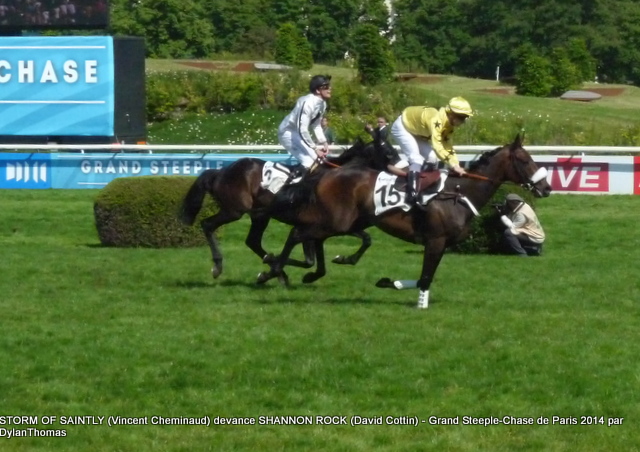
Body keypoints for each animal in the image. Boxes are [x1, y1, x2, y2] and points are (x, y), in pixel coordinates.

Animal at [178, 139, 392, 278]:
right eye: (390, 153)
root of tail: (221, 171)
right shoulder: (317, 224)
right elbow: (309, 259)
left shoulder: (333, 226)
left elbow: (363, 239)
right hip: (234, 210)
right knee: (207, 224)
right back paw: (218, 266)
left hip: (259, 216)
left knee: (252, 241)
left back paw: (274, 267)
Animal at [258, 134, 552, 308]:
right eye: (524, 159)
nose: (546, 187)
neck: (458, 194)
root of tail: (328, 174)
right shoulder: (435, 240)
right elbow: (425, 278)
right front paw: (420, 303)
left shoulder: (442, 244)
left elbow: (424, 278)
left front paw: (390, 283)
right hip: (335, 221)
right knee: (298, 234)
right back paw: (271, 270)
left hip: (343, 222)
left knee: (306, 236)